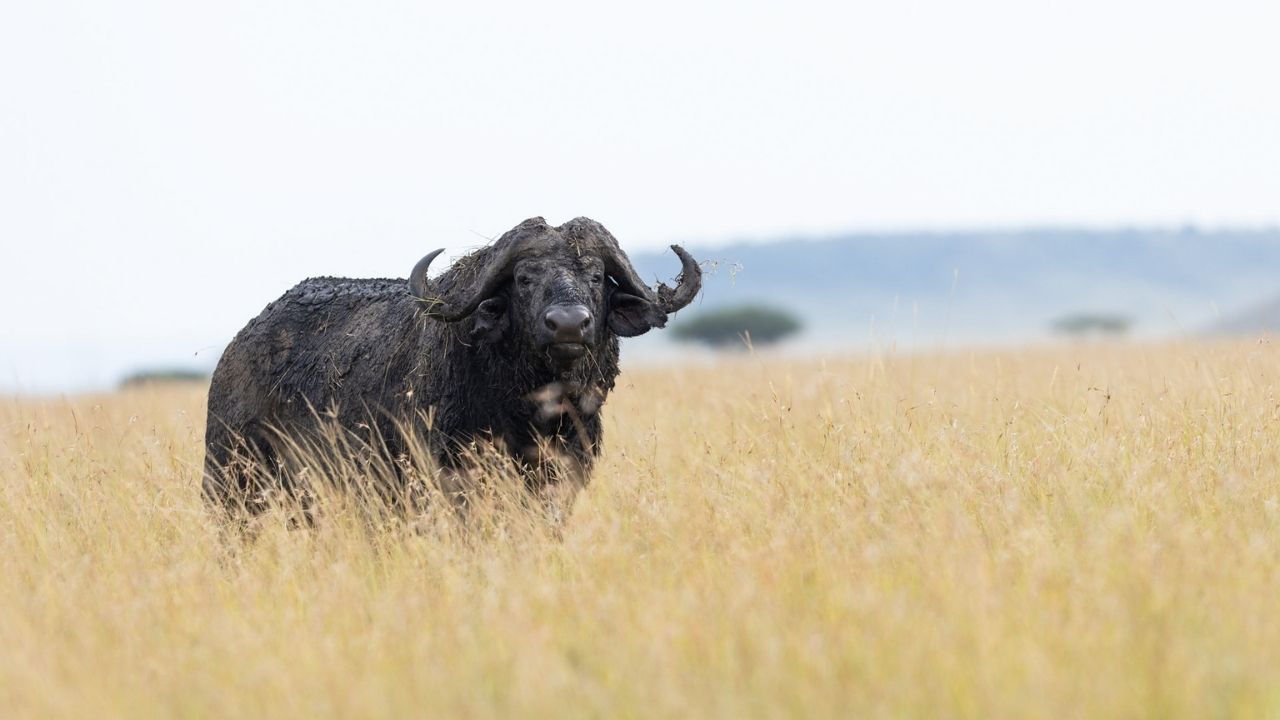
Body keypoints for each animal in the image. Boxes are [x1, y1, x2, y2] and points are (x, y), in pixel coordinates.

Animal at [202, 216, 701, 519]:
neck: (528, 413)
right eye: (524, 278)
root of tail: (234, 350)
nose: (567, 324)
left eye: (596, 276)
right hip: (230, 483)